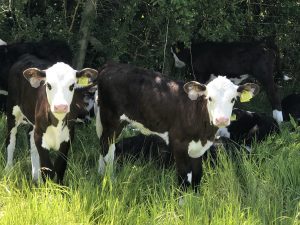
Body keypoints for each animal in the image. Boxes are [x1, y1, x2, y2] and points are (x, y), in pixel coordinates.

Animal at [5, 54, 97, 183]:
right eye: (48, 85)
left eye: (72, 86)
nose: (60, 106)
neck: (57, 123)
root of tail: (26, 56)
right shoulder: (40, 137)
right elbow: (47, 168)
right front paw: (47, 187)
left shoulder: (68, 138)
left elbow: (60, 167)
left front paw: (59, 187)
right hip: (12, 110)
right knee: (11, 140)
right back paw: (8, 170)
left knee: (31, 139)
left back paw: (36, 177)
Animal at [95, 62, 258, 191]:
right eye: (209, 98)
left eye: (233, 99)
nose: (221, 119)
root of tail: (110, 66)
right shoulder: (179, 145)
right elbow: (184, 178)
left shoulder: (199, 149)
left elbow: (197, 176)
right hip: (111, 119)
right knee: (108, 150)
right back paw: (110, 180)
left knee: (103, 145)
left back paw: (100, 175)